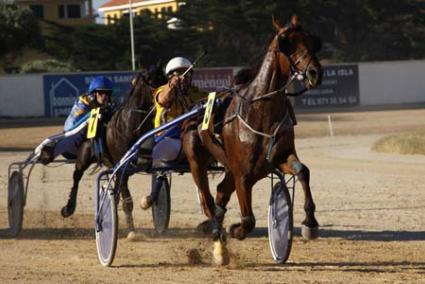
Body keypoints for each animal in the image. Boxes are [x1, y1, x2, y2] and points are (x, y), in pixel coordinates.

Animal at [180, 15, 322, 264]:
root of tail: (195, 108)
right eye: (287, 43)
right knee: (208, 200)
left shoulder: (279, 157)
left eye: (312, 41)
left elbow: (303, 171)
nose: (315, 72)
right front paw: (235, 229)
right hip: (197, 161)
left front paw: (309, 223)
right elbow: (248, 220)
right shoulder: (244, 174)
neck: (260, 111)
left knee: (221, 192)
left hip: (229, 166)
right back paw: (218, 238)